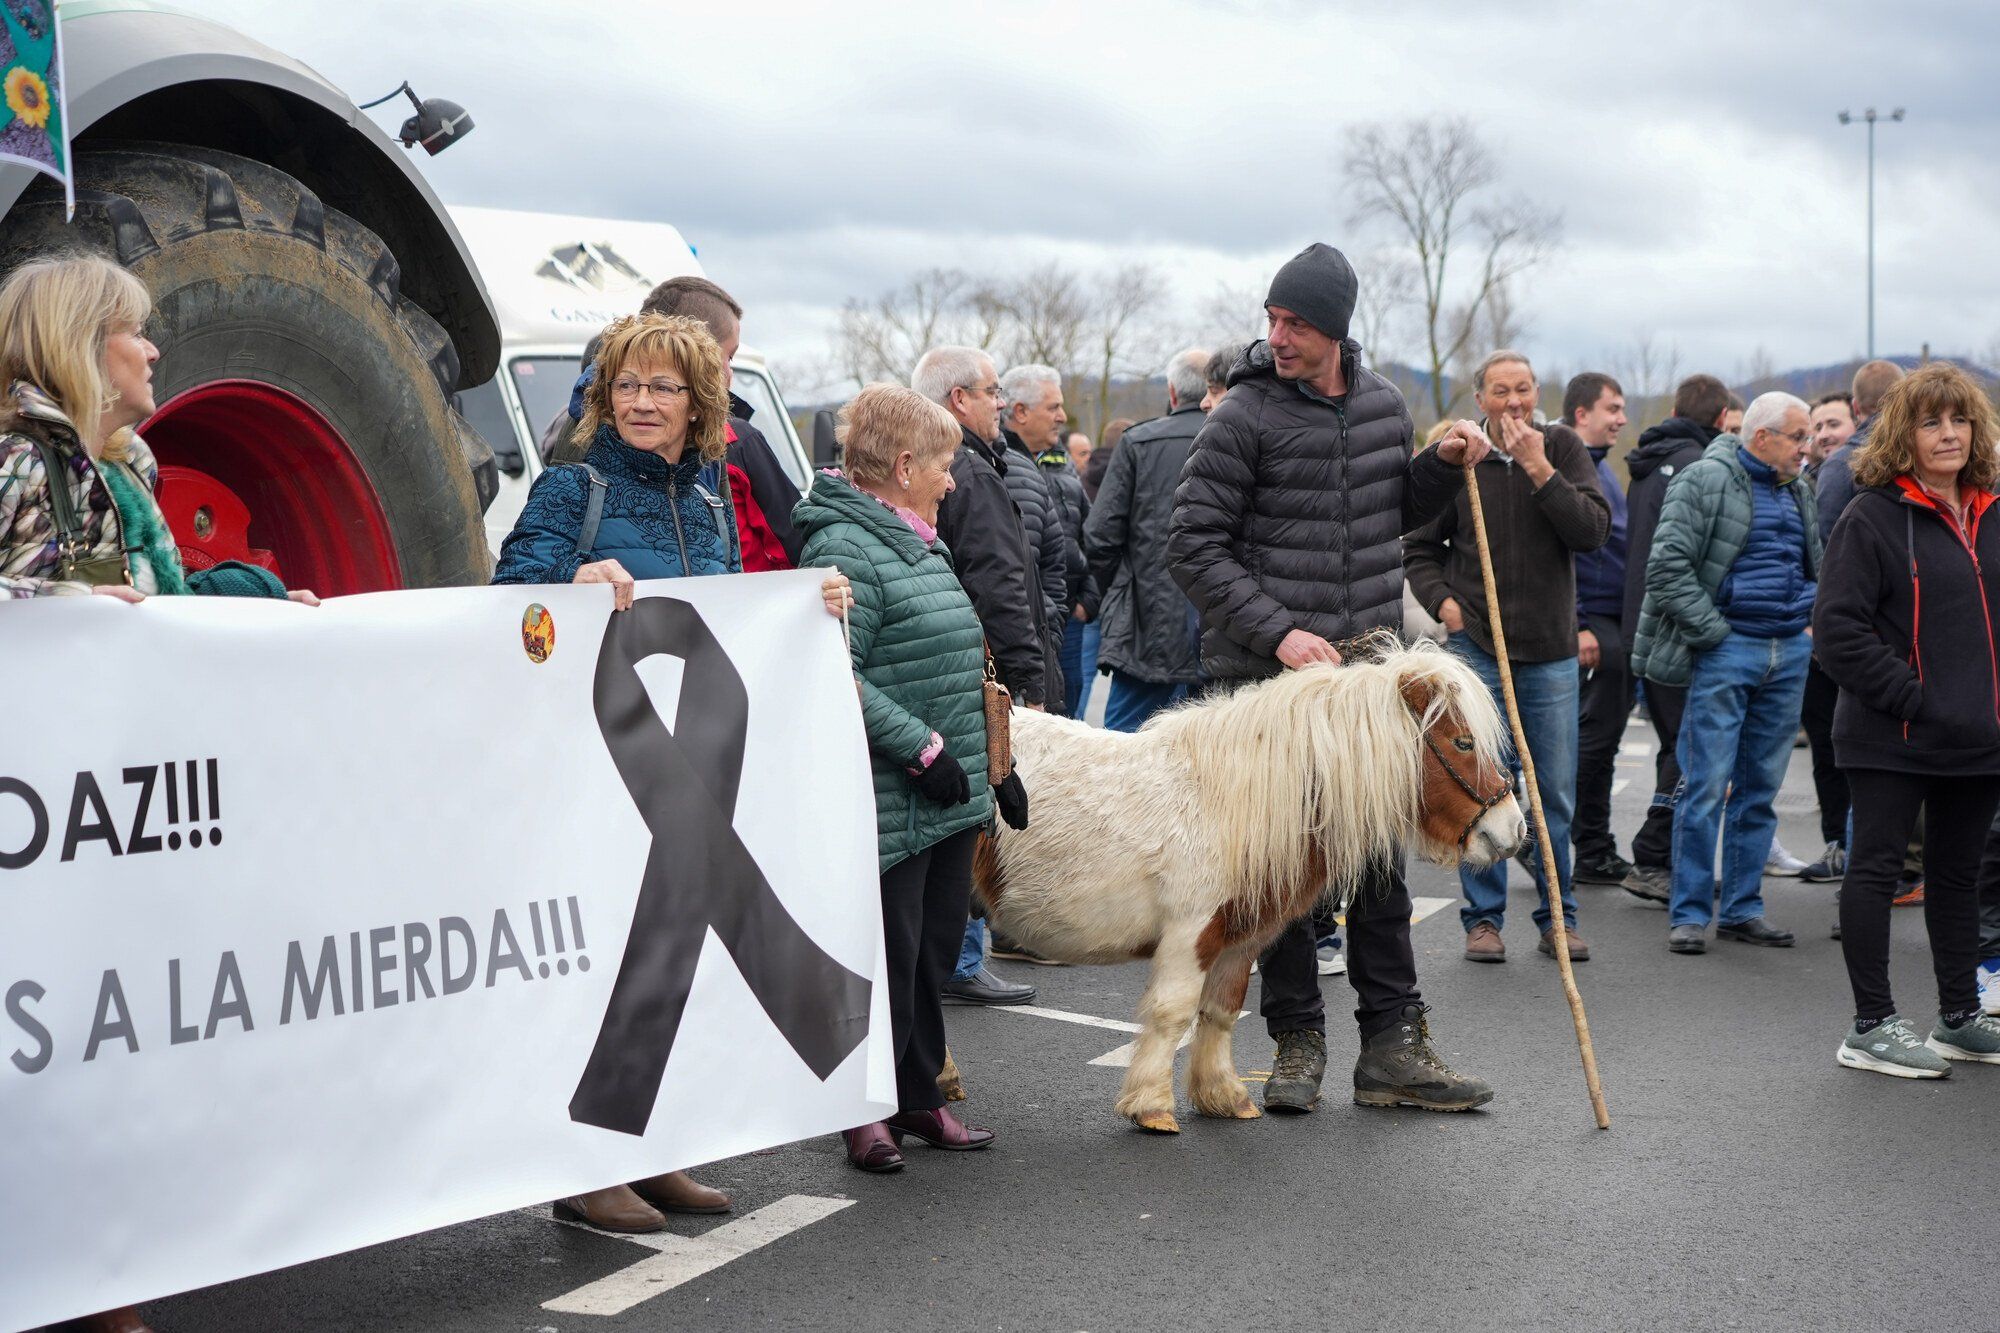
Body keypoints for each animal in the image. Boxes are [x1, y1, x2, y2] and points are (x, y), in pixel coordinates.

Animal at [968, 636, 1512, 1128]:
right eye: (1463, 743)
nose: (1511, 830)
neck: (1231, 801)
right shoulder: (1191, 935)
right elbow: (1173, 1013)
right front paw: (1152, 1106)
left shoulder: (1238, 940)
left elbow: (1220, 1012)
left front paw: (1222, 1096)